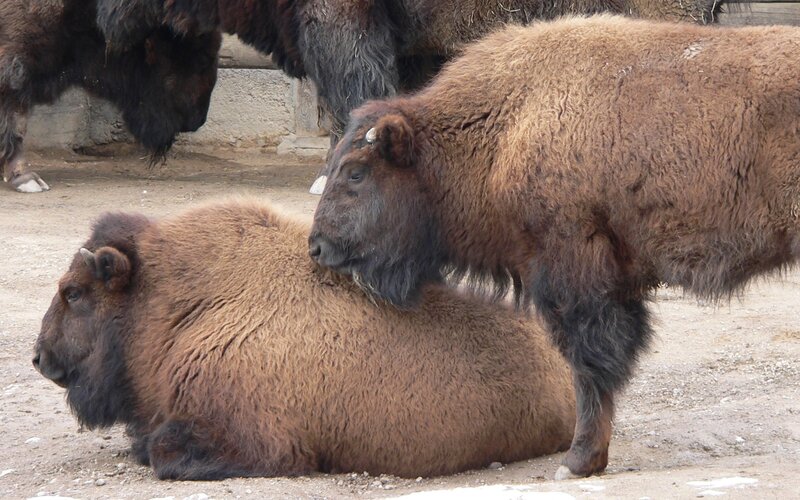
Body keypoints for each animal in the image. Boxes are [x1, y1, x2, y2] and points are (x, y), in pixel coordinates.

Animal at [309, 16, 800, 478]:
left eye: (356, 173)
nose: (317, 247)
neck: (508, 124)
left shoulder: (573, 274)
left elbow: (589, 367)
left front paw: (578, 462)